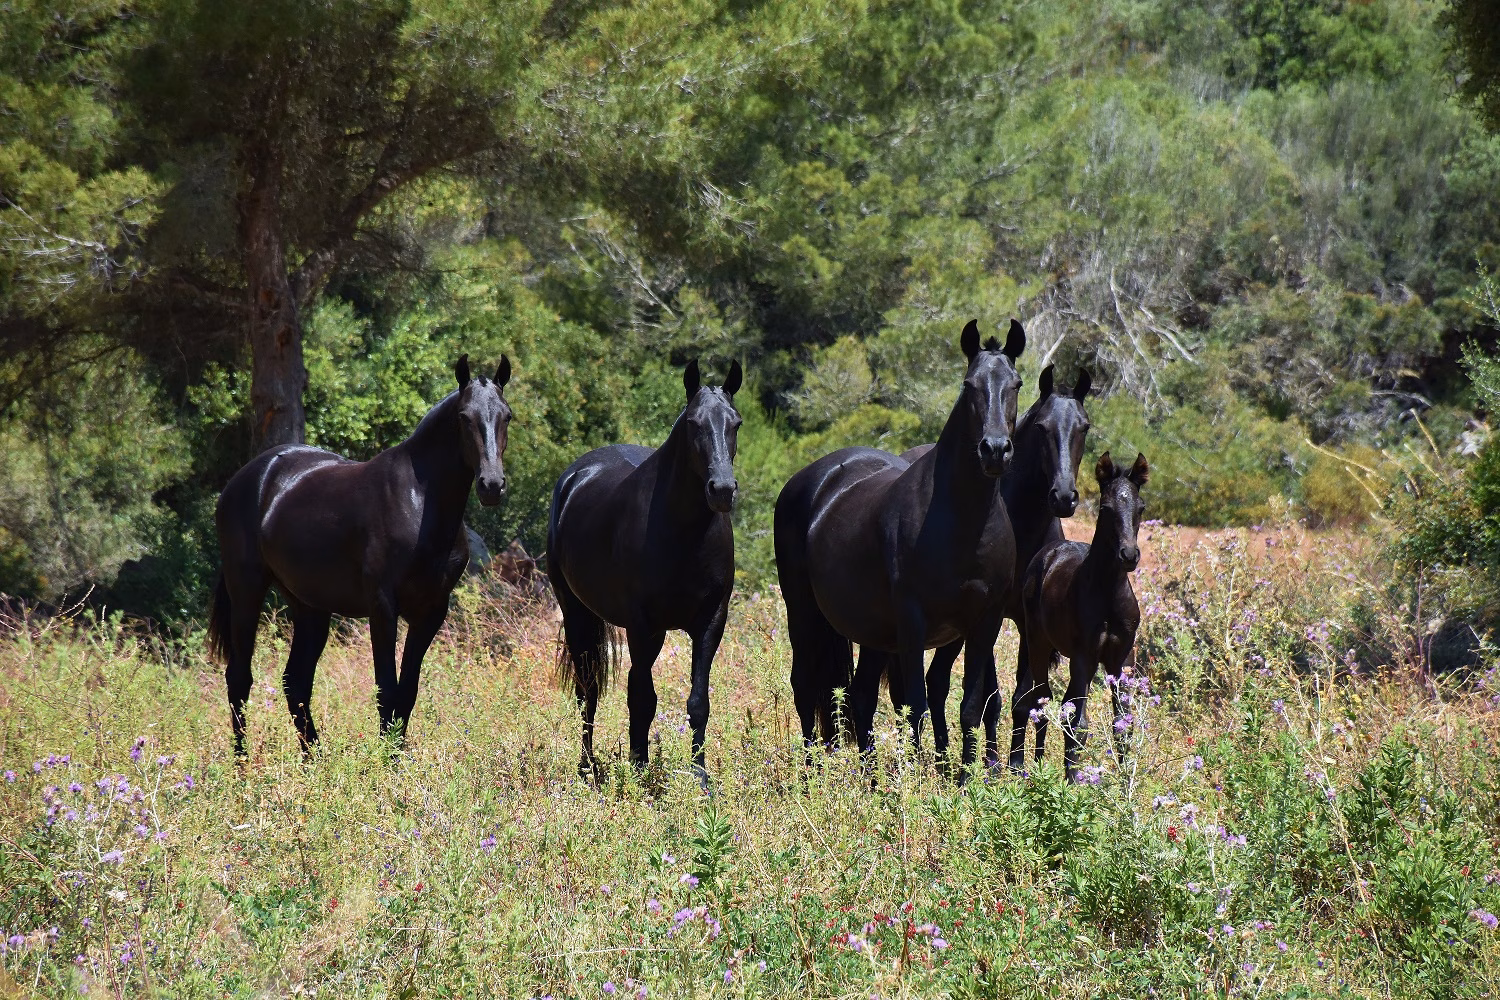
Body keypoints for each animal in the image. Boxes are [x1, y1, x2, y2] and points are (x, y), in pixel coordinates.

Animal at [208, 355, 512, 754]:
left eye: (506, 416)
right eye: (464, 417)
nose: (492, 485)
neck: (418, 502)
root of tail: (245, 480)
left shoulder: (431, 611)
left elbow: (407, 694)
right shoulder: (382, 607)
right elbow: (387, 692)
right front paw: (386, 763)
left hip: (310, 606)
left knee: (296, 682)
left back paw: (316, 761)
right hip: (247, 591)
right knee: (239, 678)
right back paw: (242, 763)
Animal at [548, 358, 743, 786]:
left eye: (735, 422)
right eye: (693, 423)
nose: (722, 490)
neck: (683, 535)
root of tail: (575, 475)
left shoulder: (710, 621)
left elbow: (698, 700)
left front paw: (700, 778)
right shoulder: (641, 623)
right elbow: (641, 697)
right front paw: (638, 773)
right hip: (578, 613)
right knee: (588, 693)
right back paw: (587, 767)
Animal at [775, 319, 1024, 764]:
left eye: (1016, 383)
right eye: (968, 385)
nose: (994, 450)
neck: (963, 524)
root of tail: (810, 480)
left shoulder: (983, 621)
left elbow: (969, 706)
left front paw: (963, 777)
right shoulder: (913, 620)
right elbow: (917, 706)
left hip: (874, 631)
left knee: (860, 695)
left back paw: (871, 776)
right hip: (802, 611)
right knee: (804, 687)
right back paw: (810, 774)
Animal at [887, 365, 1092, 774]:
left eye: (1084, 427)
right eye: (1042, 427)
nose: (1063, 496)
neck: (1024, 528)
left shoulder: (1027, 622)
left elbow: (1026, 697)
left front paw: (1018, 763)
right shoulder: (989, 616)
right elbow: (992, 696)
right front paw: (994, 763)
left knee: (936, 681)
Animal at [1019, 451, 1148, 779]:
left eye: (1141, 507)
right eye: (1106, 508)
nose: (1129, 555)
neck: (1108, 594)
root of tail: (1049, 551)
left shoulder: (1122, 658)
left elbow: (1122, 726)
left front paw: (1125, 781)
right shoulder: (1083, 656)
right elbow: (1079, 725)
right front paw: (1072, 783)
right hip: (1039, 644)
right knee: (1043, 701)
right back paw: (1038, 767)